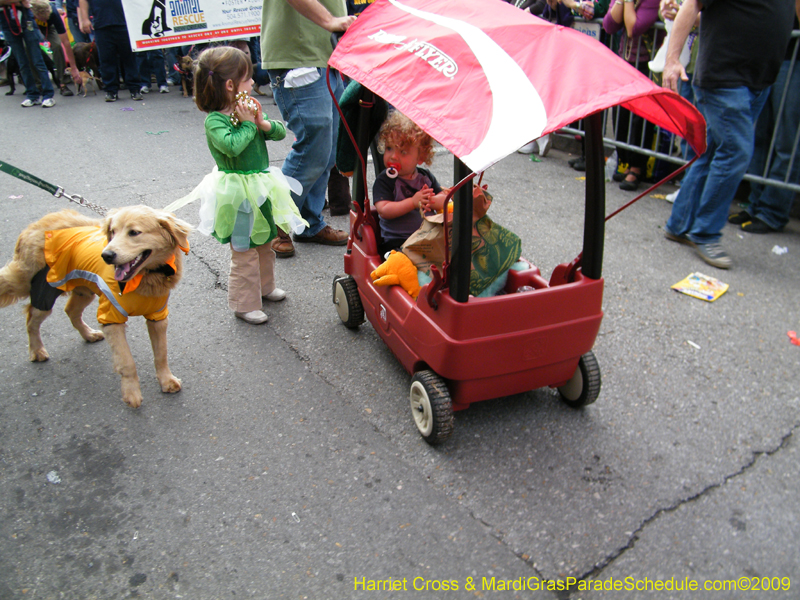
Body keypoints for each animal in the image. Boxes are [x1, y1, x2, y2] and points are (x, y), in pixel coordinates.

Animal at [0, 206, 192, 408]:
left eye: (134, 232)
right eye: (112, 232)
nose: (106, 256)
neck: (146, 277)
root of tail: (35, 225)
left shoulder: (158, 317)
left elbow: (161, 354)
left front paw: (166, 380)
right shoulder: (112, 318)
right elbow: (127, 362)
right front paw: (131, 393)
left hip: (84, 289)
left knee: (70, 311)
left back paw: (88, 335)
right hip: (44, 290)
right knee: (31, 318)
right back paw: (37, 350)